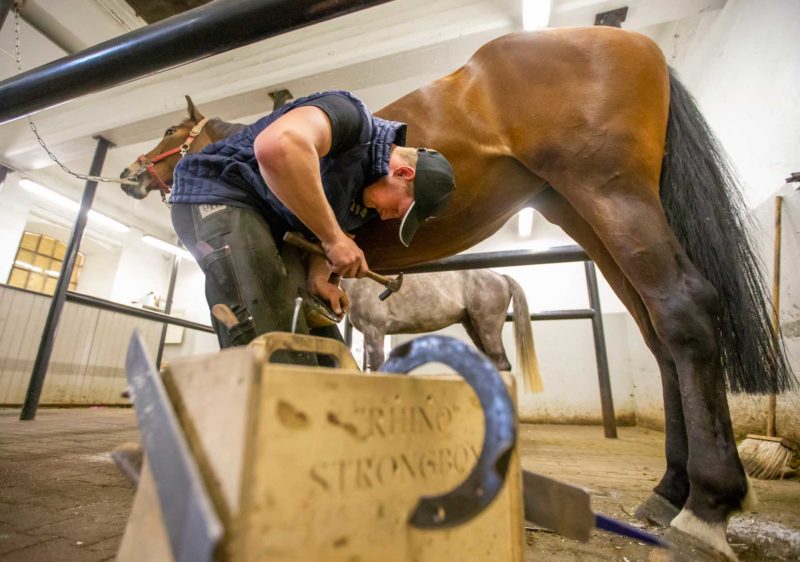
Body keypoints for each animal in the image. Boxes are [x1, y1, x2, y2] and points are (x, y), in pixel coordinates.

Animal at [340, 268, 540, 390]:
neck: (357, 283)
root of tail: (501, 277)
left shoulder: (374, 332)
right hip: (474, 327)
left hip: (488, 328)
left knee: (502, 365)